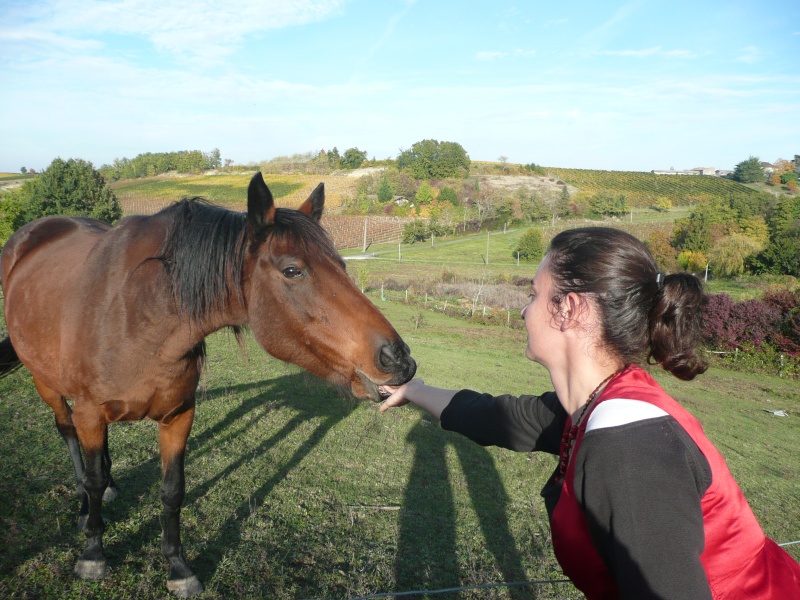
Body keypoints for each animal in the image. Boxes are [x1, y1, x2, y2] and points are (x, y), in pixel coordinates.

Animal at [1, 172, 418, 596]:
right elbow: (94, 477)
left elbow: (172, 490)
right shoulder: (89, 413)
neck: (136, 313)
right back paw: (86, 509)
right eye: (292, 270)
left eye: (342, 265)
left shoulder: (178, 415)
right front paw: (93, 553)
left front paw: (178, 567)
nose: (398, 358)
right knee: (68, 435)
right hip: (47, 385)